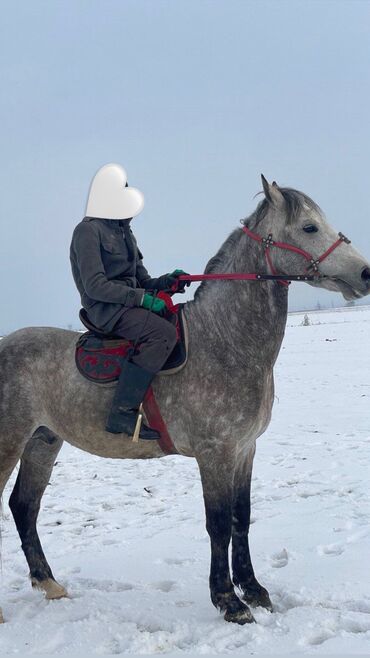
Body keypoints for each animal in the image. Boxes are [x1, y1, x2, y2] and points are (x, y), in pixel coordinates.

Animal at [0, 177, 370, 624]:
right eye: (309, 227)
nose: (365, 273)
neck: (225, 339)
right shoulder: (215, 453)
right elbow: (219, 524)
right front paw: (229, 601)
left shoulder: (245, 450)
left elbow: (242, 517)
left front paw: (254, 590)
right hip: (11, 440)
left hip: (42, 440)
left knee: (25, 506)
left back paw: (49, 584)